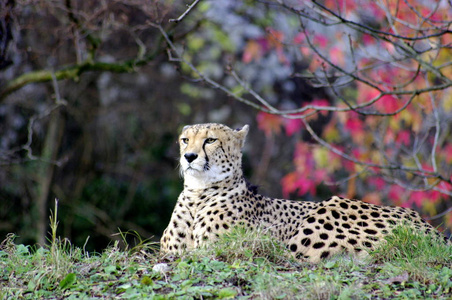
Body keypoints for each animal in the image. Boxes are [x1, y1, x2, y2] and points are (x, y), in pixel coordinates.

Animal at [161, 123, 450, 262]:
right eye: (185, 140)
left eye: (210, 140)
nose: (189, 156)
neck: (198, 194)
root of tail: (426, 224)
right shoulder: (170, 251)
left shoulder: (218, 247)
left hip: (326, 212)